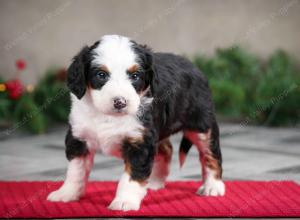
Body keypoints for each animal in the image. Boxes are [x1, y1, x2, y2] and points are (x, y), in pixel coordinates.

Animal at [47, 34, 225, 211]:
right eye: (101, 75)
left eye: (135, 76)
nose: (120, 102)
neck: (108, 116)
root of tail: (194, 67)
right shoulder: (79, 136)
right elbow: (75, 171)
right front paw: (67, 193)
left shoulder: (140, 142)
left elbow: (132, 176)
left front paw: (125, 201)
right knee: (166, 150)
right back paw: (154, 182)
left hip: (202, 125)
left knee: (211, 154)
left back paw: (212, 186)